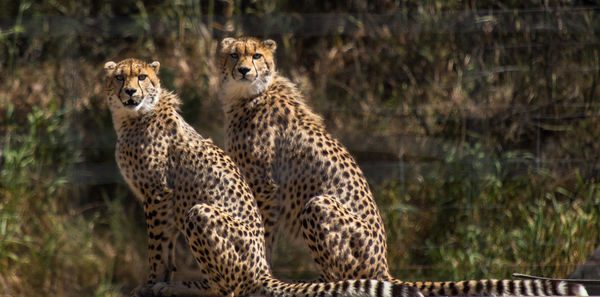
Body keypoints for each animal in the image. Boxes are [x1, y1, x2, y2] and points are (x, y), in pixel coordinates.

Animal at [103, 56, 422, 296]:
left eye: (142, 77)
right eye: (119, 77)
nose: (130, 92)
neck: (133, 117)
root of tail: (261, 269)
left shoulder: (158, 194)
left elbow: (157, 247)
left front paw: (151, 284)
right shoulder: (162, 199)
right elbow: (166, 248)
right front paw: (157, 282)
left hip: (205, 214)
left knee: (228, 288)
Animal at [218, 35, 588, 294]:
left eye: (257, 56)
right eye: (234, 55)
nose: (244, 70)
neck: (247, 95)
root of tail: (383, 263)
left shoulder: (267, 185)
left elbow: (264, 232)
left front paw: (262, 273)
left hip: (319, 206)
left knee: (340, 271)